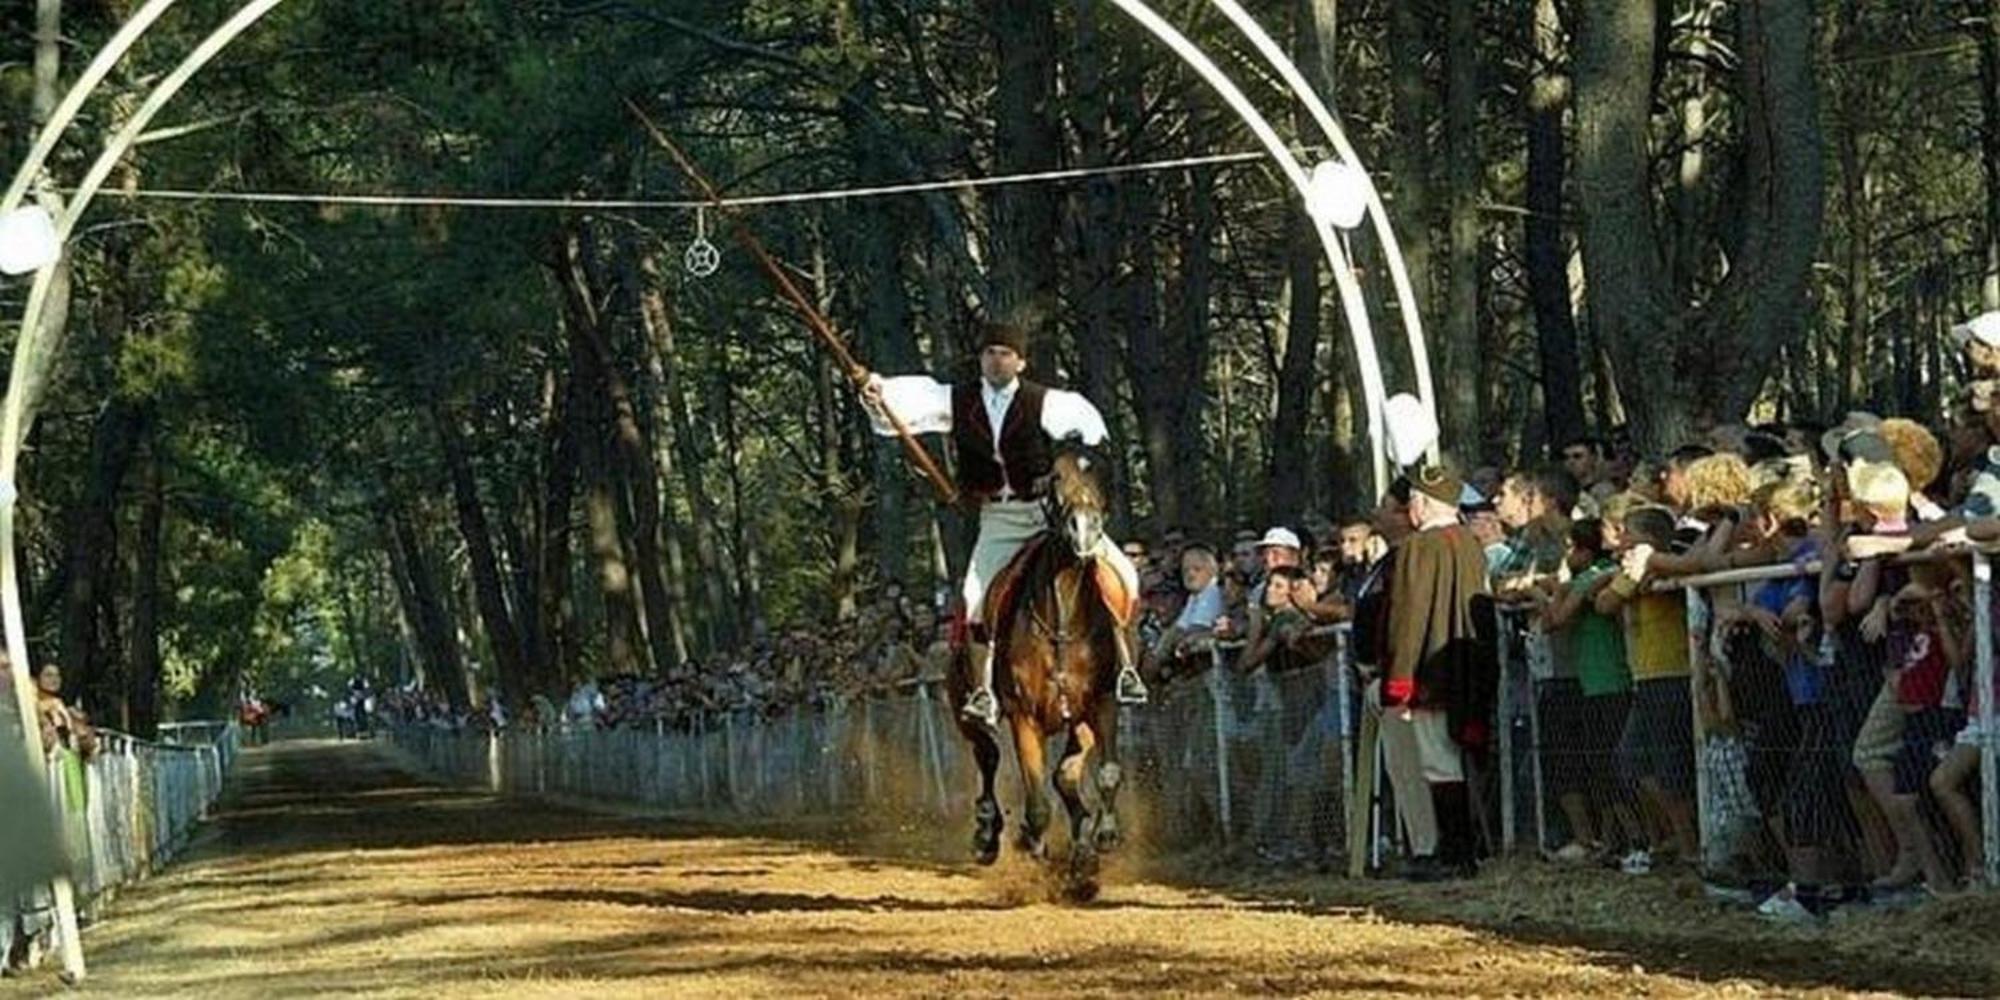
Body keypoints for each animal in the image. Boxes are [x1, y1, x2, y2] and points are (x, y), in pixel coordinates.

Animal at [952, 452, 1128, 900]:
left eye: (1099, 478)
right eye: (1056, 481)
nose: (1084, 530)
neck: (1063, 619)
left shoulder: (1101, 704)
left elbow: (1106, 772)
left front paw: (1103, 837)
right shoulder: (1024, 716)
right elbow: (1036, 802)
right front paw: (1031, 841)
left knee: (1064, 776)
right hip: (964, 712)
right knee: (988, 755)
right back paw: (987, 835)